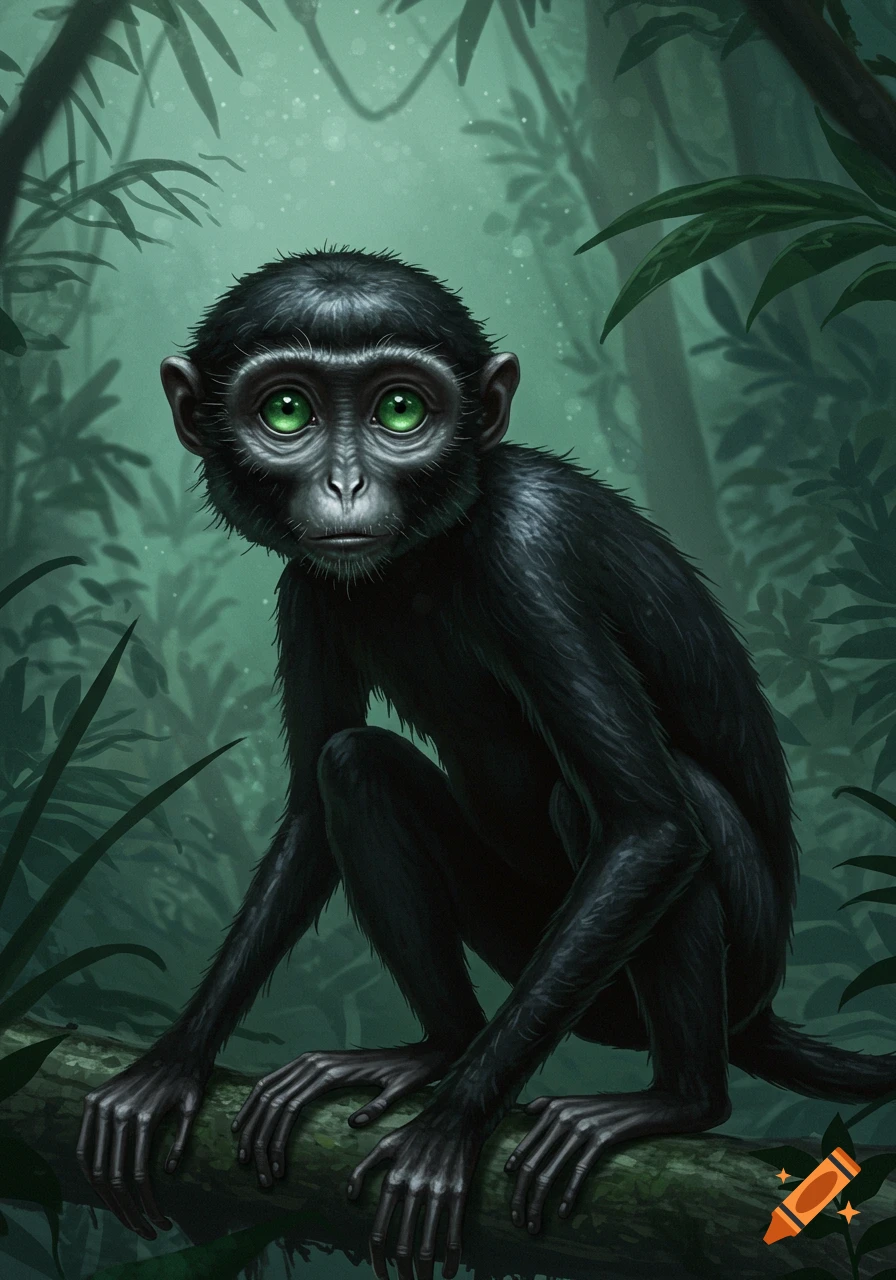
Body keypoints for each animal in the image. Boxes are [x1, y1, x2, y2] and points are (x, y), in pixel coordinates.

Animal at [77, 248, 895, 1280]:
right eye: (288, 412)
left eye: (399, 410)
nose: (344, 484)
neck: (428, 556)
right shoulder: (307, 587)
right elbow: (309, 809)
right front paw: (172, 1063)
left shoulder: (527, 556)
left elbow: (649, 825)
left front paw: (449, 1132)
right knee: (357, 770)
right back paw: (439, 1048)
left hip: (708, 964)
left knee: (627, 812)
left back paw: (675, 1098)